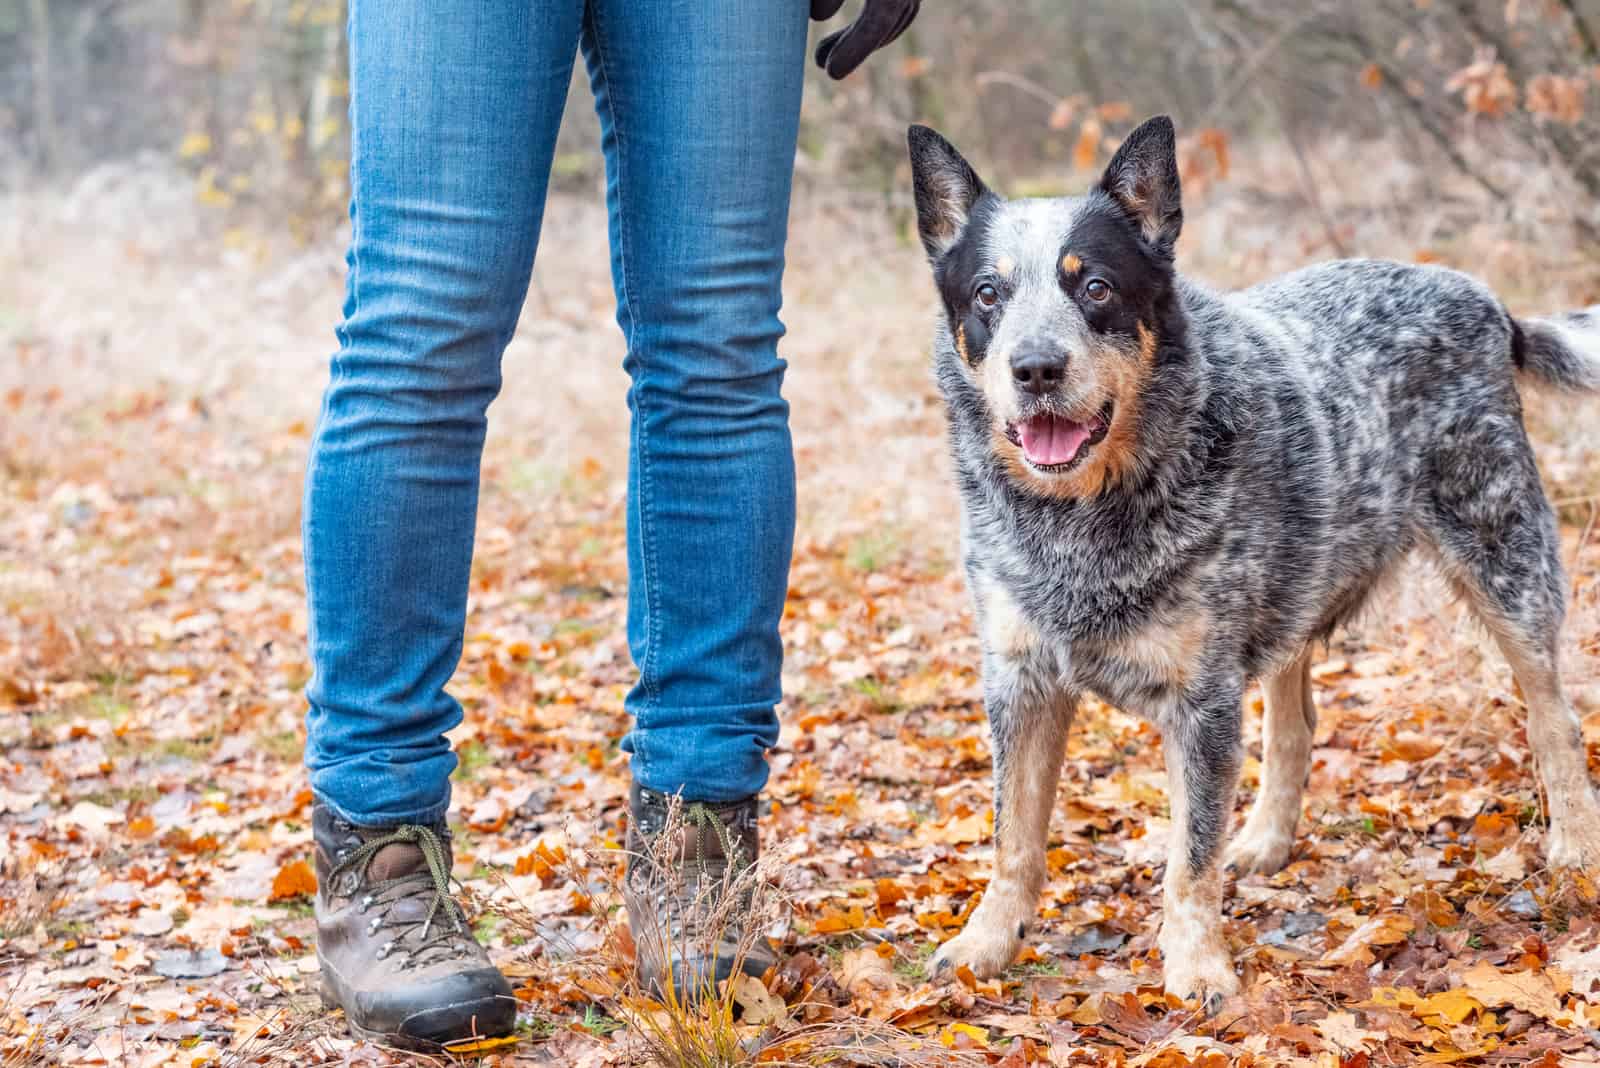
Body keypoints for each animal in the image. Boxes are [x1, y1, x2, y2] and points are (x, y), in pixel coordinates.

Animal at [908, 116, 1600, 1010]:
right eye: (988, 295)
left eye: (1094, 287)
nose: (1035, 368)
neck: (1078, 523)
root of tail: (1480, 296)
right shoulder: (1020, 682)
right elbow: (1013, 837)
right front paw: (987, 943)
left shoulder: (1201, 702)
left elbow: (1189, 858)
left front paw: (1197, 966)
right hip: (1292, 588)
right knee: (1295, 725)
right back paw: (1268, 838)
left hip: (1503, 557)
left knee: (1553, 712)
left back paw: (1575, 845)